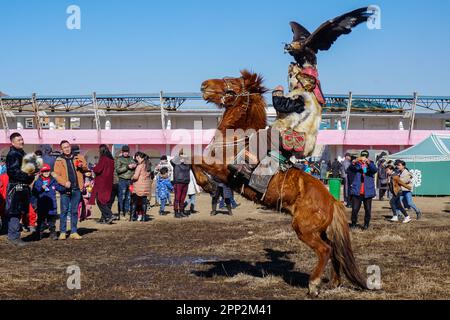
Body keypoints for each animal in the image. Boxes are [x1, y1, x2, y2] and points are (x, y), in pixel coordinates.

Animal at [192, 70, 368, 296]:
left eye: (233, 83)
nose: (204, 85)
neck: (237, 139)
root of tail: (332, 200)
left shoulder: (221, 169)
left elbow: (191, 158)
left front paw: (207, 185)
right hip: (317, 230)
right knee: (334, 249)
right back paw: (334, 282)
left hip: (303, 228)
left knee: (325, 249)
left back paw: (314, 284)